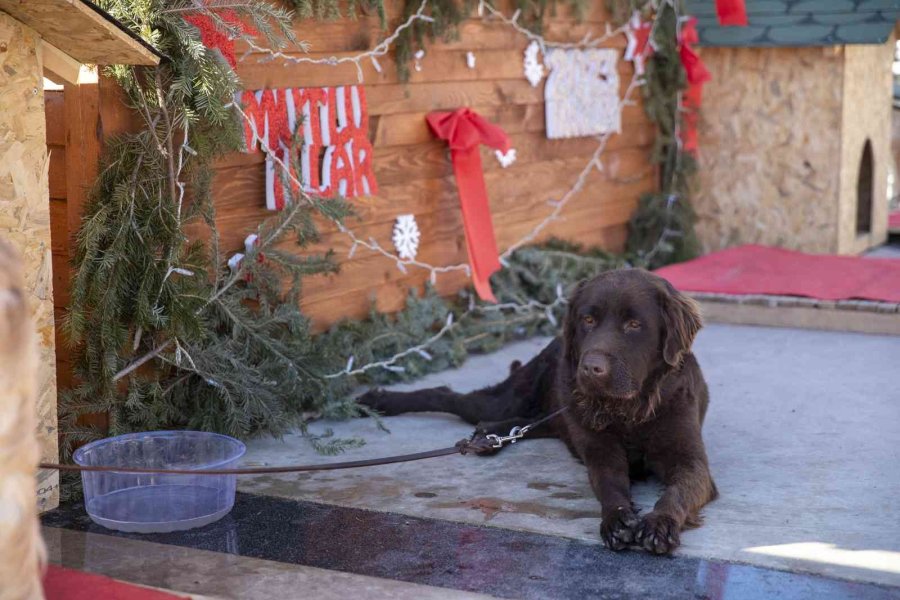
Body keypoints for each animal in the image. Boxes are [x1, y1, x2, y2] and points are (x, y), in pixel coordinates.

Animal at [358, 270, 716, 556]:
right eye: (588, 320)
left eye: (634, 324)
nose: (590, 368)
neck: (629, 411)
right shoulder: (601, 452)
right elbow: (610, 484)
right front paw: (617, 520)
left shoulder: (691, 461)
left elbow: (677, 492)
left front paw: (659, 523)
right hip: (511, 398)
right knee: (449, 396)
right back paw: (381, 400)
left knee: (533, 424)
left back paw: (487, 436)